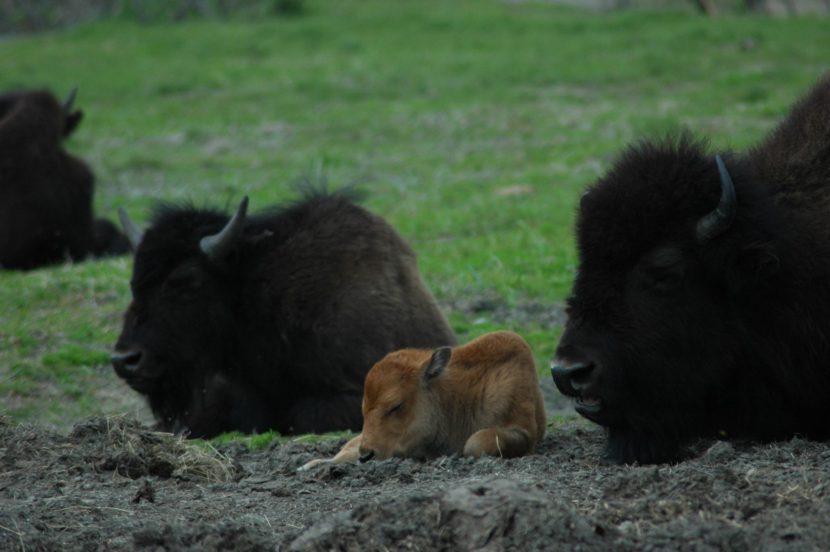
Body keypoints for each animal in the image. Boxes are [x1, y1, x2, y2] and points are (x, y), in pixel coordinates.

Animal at [302, 332, 548, 470]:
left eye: (396, 406)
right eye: (363, 410)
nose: (366, 455)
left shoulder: (522, 430)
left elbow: (476, 441)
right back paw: (310, 465)